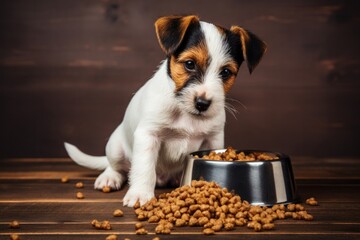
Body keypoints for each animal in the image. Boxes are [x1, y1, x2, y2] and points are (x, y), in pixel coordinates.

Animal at [64, 15, 268, 206]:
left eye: (225, 72)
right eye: (190, 64)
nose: (202, 103)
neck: (185, 112)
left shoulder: (214, 138)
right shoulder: (148, 135)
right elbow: (145, 168)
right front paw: (140, 195)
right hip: (115, 147)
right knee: (116, 166)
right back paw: (109, 177)